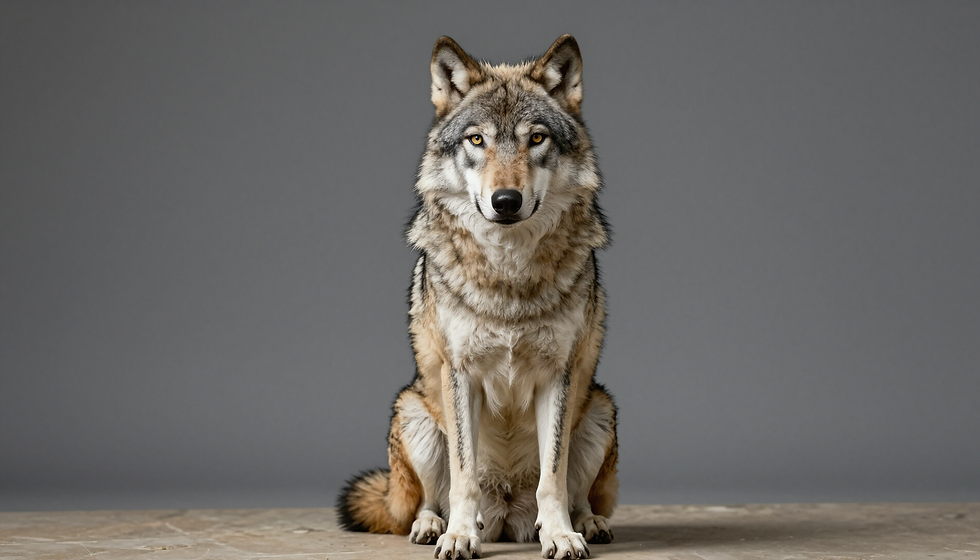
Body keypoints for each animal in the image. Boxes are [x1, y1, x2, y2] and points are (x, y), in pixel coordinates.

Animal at [336, 35, 618, 560]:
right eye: (476, 141)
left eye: (536, 139)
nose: (505, 201)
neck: (508, 275)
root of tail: (507, 516)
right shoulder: (460, 373)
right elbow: (463, 475)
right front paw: (459, 536)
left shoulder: (560, 374)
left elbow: (553, 477)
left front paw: (561, 534)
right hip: (415, 414)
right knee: (428, 498)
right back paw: (431, 526)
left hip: (599, 410)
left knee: (579, 493)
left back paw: (587, 523)